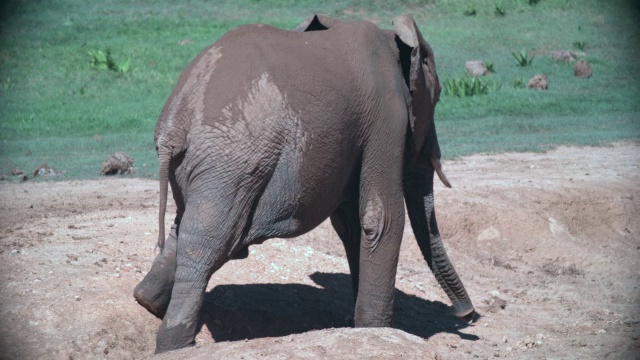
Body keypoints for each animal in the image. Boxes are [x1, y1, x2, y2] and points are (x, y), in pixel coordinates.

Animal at [135, 14, 476, 354]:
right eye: (437, 98)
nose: (468, 315)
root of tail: (174, 126)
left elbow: (352, 224)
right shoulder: (387, 116)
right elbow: (381, 217)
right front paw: (377, 329)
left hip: (209, 167)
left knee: (187, 227)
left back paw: (146, 301)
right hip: (230, 163)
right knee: (209, 243)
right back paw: (174, 345)